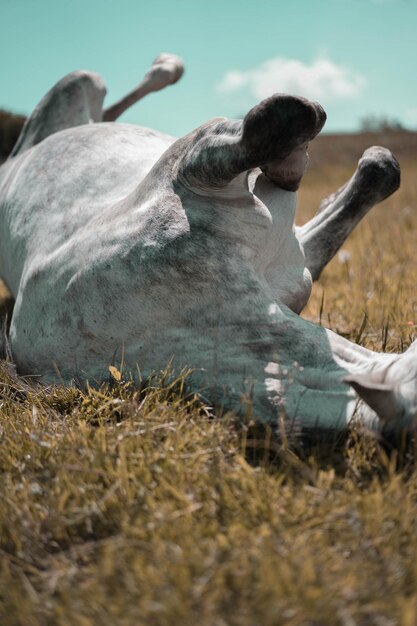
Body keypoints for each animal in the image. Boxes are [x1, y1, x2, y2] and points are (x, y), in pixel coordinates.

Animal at [0, 54, 414, 444]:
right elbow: (281, 117)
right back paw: (165, 68)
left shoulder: (294, 267)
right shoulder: (194, 161)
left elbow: (380, 170)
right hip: (79, 84)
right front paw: (294, 153)